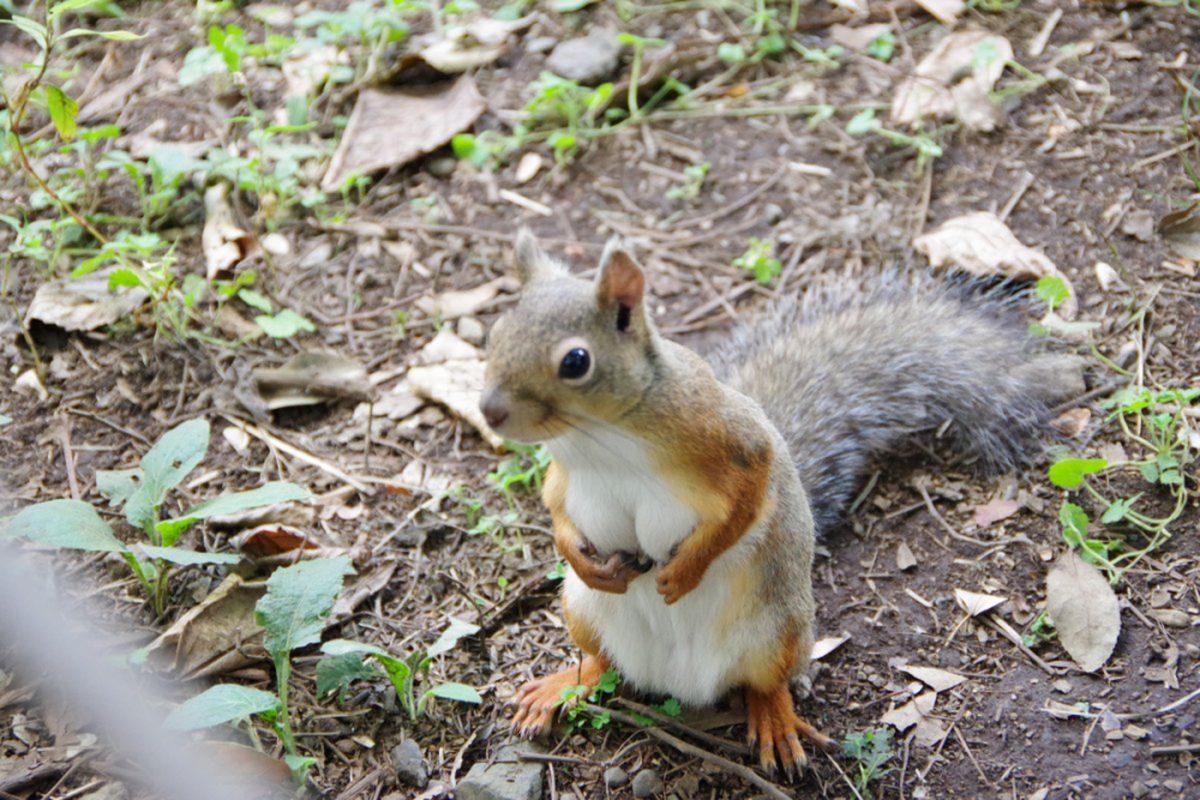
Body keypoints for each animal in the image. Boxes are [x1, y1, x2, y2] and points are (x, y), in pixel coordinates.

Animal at [477, 226, 1089, 777]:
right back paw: (561, 685)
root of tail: (680, 683)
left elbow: (750, 500)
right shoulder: (563, 473)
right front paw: (578, 554)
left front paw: (688, 570)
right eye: (495, 331)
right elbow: (556, 506)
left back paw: (775, 720)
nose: (489, 411)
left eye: (575, 362)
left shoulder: (734, 441)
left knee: (765, 683)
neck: (602, 436)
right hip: (581, 611)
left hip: (778, 630)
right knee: (601, 663)